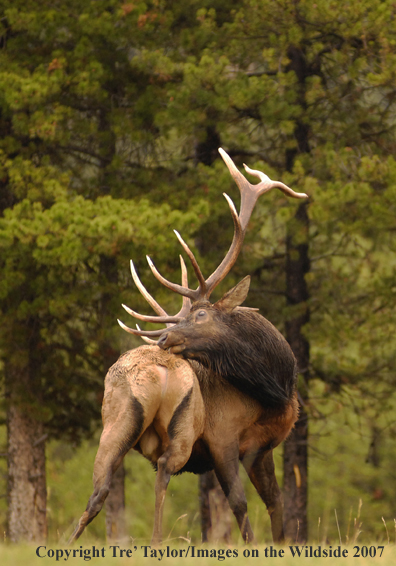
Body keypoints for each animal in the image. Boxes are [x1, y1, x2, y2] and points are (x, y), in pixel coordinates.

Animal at [69, 149, 308, 548]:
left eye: (199, 314)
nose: (164, 338)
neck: (275, 391)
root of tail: (154, 373)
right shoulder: (223, 436)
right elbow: (241, 504)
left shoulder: (262, 448)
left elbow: (275, 504)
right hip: (183, 427)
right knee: (164, 469)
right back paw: (154, 542)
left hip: (117, 418)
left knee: (98, 488)